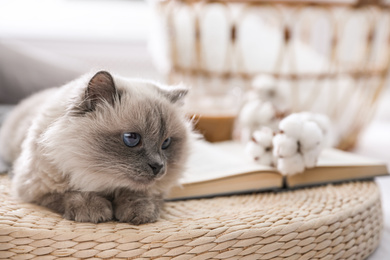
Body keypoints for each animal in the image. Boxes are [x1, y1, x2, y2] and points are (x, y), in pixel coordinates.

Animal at [0, 70, 193, 224]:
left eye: (166, 143)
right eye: (131, 138)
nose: (158, 166)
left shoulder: (152, 190)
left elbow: (138, 194)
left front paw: (138, 212)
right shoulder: (38, 189)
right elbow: (71, 194)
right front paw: (94, 211)